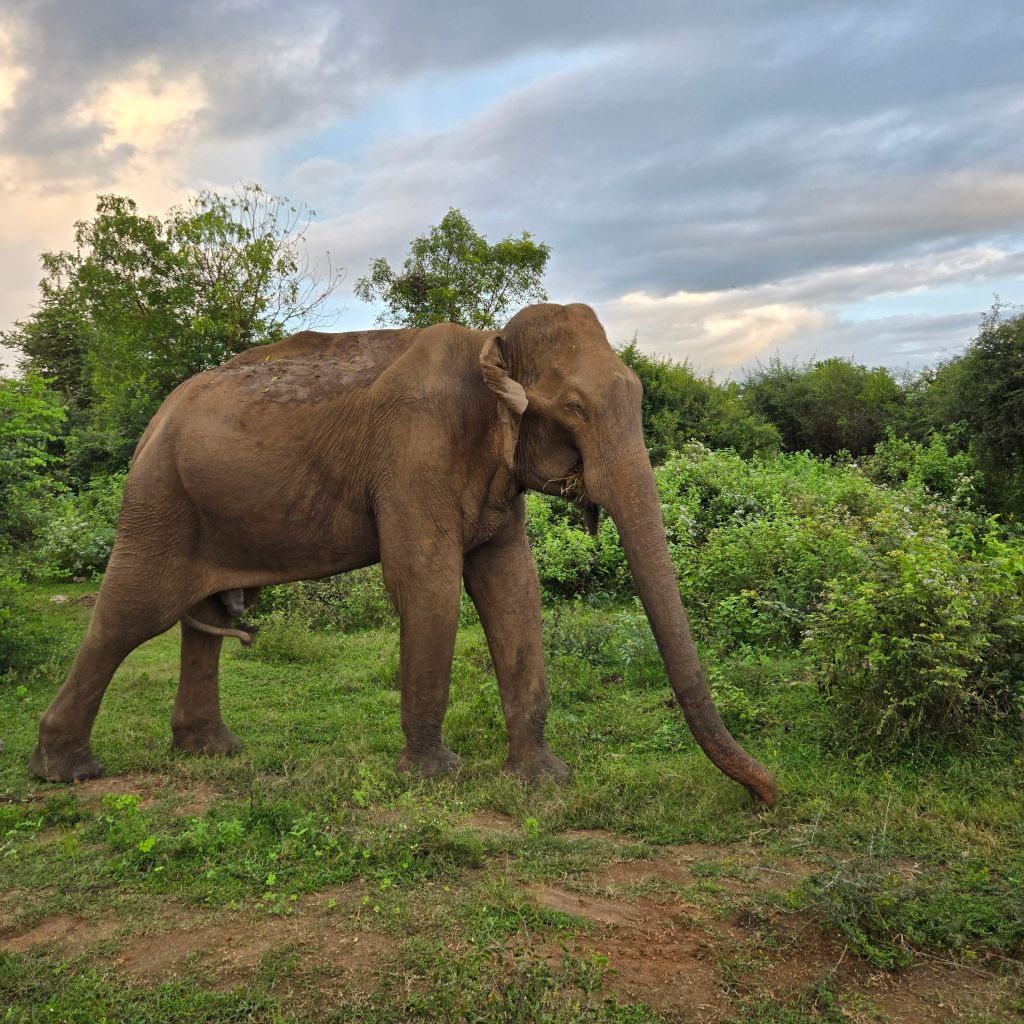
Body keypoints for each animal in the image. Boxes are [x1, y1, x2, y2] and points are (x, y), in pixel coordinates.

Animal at [29, 303, 778, 807]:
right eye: (572, 407)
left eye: (638, 396)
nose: (767, 796)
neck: (490, 346)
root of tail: (154, 419)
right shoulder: (413, 450)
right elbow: (428, 581)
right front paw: (437, 775)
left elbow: (514, 587)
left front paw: (542, 779)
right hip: (159, 502)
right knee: (130, 616)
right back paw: (67, 773)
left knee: (201, 619)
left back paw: (213, 752)